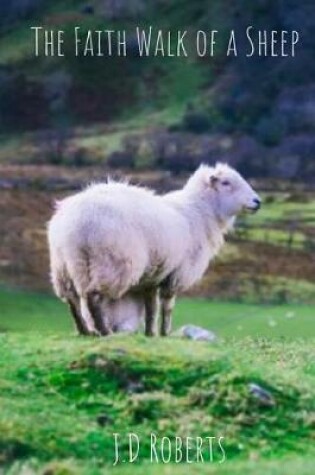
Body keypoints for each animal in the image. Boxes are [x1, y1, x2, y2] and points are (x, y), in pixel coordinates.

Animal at [48, 164, 262, 338]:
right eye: (226, 182)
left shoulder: (153, 274)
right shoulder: (177, 272)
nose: (257, 201)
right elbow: (168, 306)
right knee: (93, 297)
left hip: (64, 265)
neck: (200, 212)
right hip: (111, 263)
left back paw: (85, 330)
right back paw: (104, 331)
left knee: (72, 300)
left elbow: (151, 306)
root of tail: (77, 222)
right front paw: (165, 333)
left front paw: (150, 333)